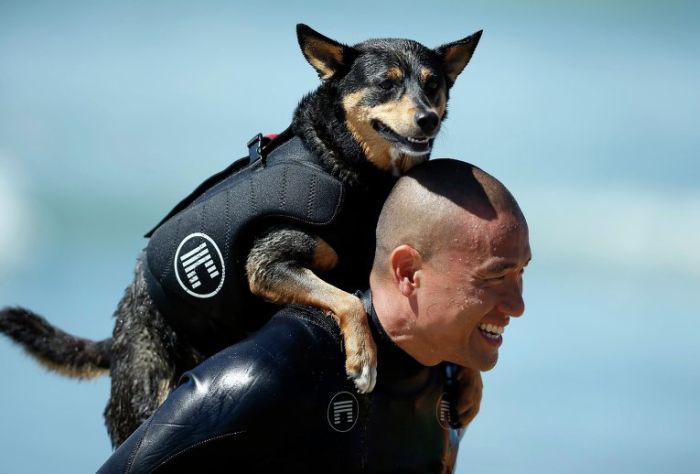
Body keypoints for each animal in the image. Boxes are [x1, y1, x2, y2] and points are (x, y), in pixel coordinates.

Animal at [0, 24, 482, 446]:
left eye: (434, 85)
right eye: (385, 83)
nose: (428, 119)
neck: (342, 162)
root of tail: (117, 337)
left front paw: (470, 384)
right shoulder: (266, 265)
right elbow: (346, 301)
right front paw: (363, 358)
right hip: (145, 396)